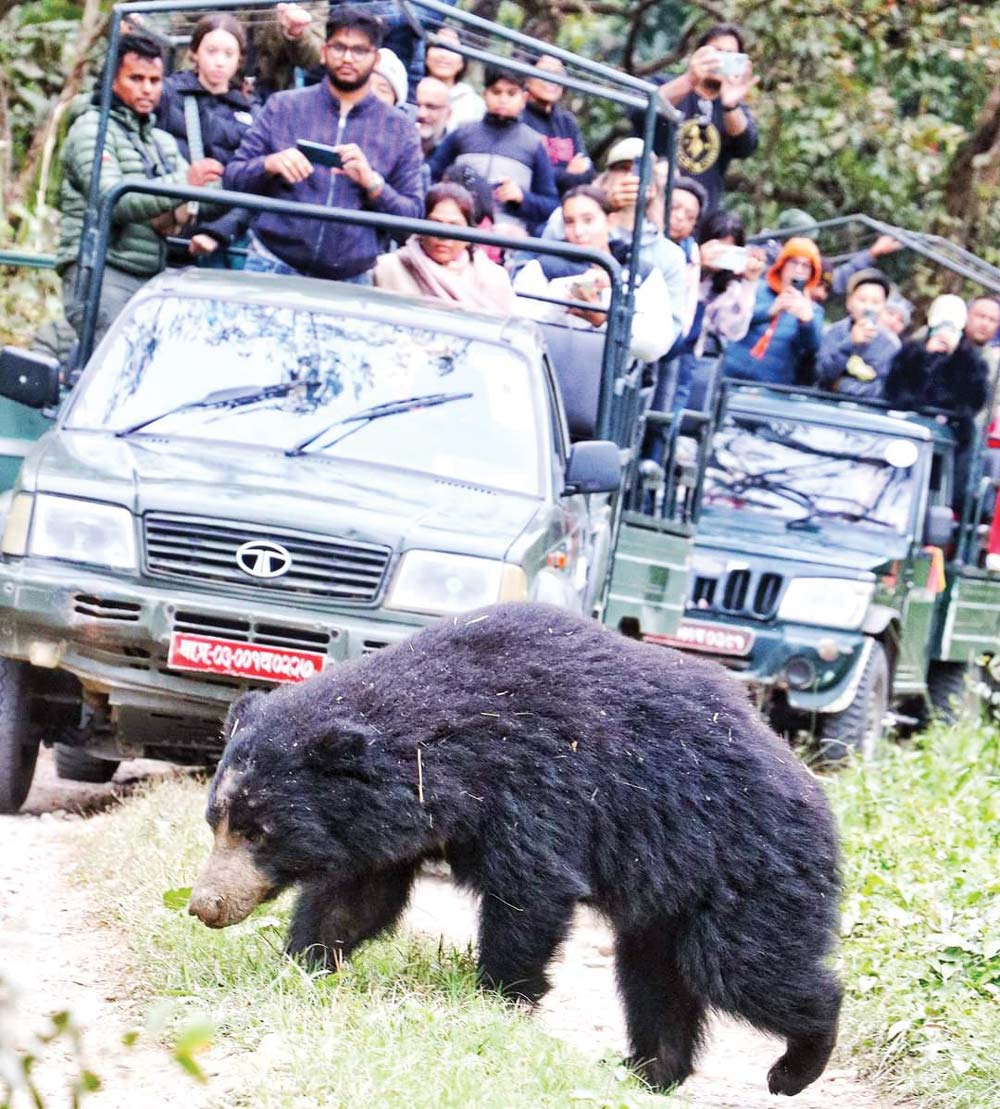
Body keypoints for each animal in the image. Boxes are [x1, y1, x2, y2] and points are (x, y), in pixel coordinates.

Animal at [189, 603, 847, 1095]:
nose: (205, 906)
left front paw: (497, 1002)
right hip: (668, 902)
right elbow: (354, 899)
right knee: (656, 980)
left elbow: (530, 893)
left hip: (745, 871)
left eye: (259, 830)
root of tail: (819, 802)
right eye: (216, 819)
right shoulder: (399, 825)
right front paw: (299, 967)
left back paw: (794, 1066)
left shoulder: (538, 788)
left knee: (744, 968)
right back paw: (646, 1071)